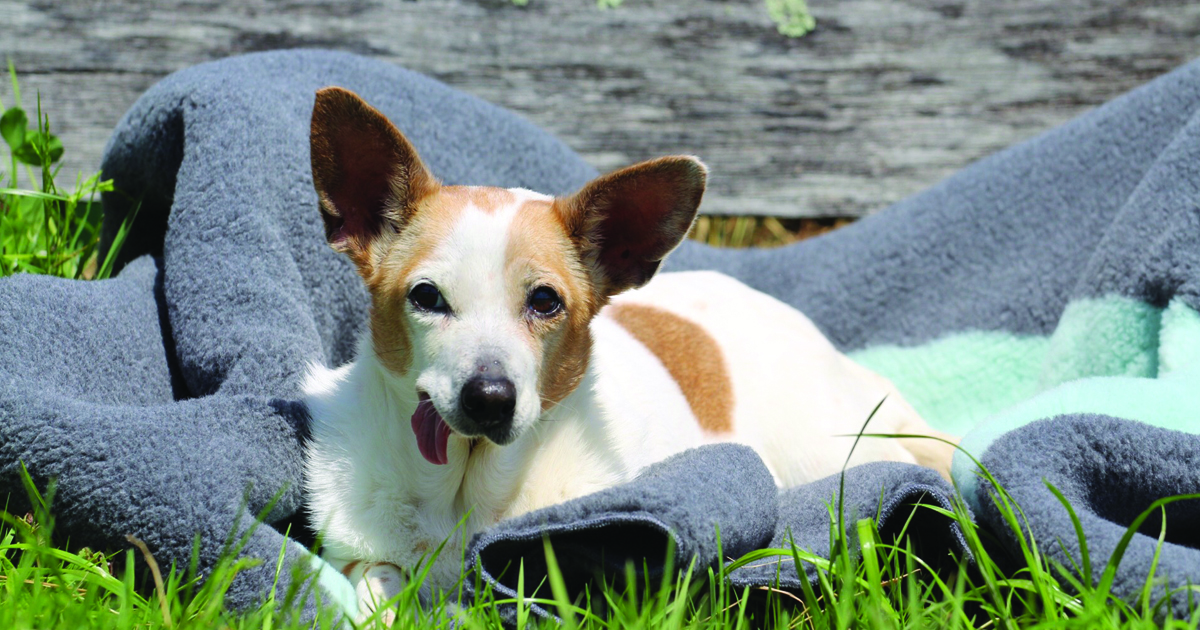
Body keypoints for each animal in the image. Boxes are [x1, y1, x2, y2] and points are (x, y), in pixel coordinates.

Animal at [302, 84, 955, 619]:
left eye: (545, 301)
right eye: (426, 297)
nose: (489, 397)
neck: (466, 495)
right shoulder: (363, 556)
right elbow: (375, 583)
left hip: (824, 449)